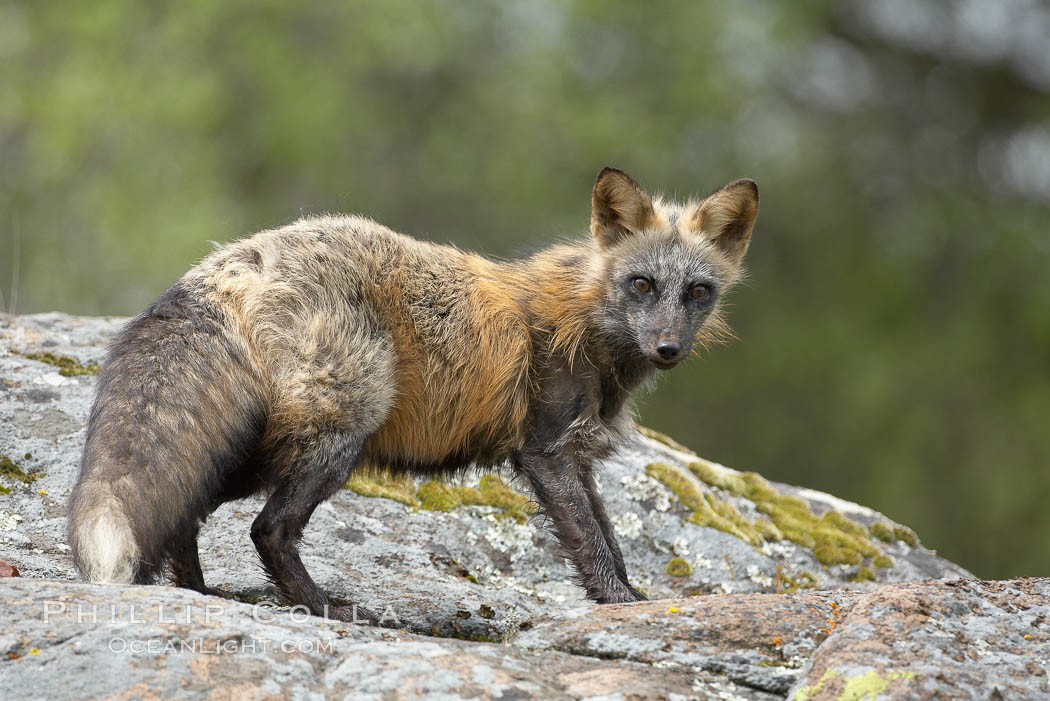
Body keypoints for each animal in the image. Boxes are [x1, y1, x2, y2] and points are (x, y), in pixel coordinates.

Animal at [67, 166, 755, 621]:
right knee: (268, 529)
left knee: (187, 508)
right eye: (641, 284)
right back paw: (324, 607)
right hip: (338, 435)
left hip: (259, 444)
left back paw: (197, 594)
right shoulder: (548, 451)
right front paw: (619, 604)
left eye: (697, 292)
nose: (668, 347)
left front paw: (633, 601)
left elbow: (607, 537)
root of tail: (240, 257)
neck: (588, 320)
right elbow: (592, 543)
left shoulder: (577, 458)